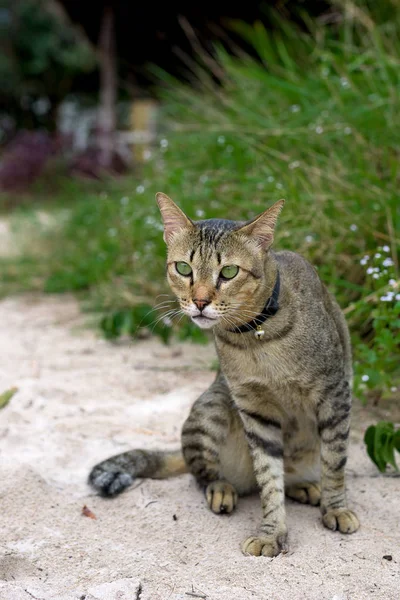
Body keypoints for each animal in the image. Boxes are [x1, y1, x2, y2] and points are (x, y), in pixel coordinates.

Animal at [90, 193, 360, 556]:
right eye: (183, 268)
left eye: (229, 272)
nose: (200, 301)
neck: (256, 338)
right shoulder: (255, 410)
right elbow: (268, 478)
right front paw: (271, 532)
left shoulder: (334, 394)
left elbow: (334, 463)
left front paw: (336, 508)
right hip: (213, 406)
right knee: (202, 472)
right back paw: (221, 488)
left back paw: (304, 485)